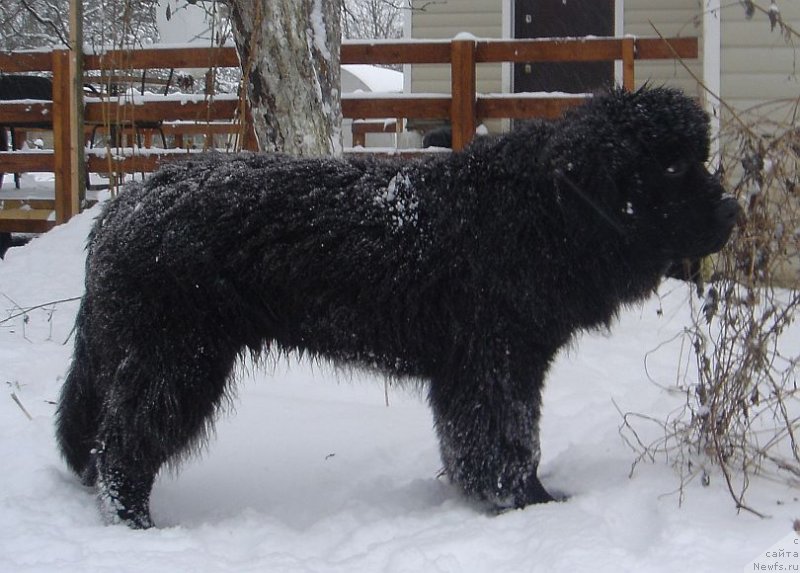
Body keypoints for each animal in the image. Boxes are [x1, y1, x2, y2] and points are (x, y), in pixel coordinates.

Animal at [57, 86, 736, 528]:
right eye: (672, 166)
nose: (731, 210)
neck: (545, 210)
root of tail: (120, 209)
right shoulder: (495, 364)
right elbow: (509, 442)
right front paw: (530, 505)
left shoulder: (477, 371)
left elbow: (477, 443)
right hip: (176, 359)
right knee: (124, 445)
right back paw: (137, 524)